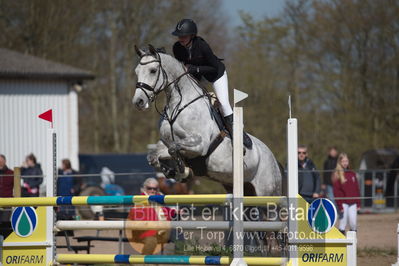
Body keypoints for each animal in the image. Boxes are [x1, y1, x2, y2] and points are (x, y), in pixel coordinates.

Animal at [133, 44, 282, 196]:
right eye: (136, 72)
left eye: (153, 71)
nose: (138, 101)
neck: (178, 107)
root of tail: (275, 161)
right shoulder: (165, 143)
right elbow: (154, 156)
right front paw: (172, 171)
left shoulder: (200, 145)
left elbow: (174, 148)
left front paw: (182, 171)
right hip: (239, 187)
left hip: (268, 191)